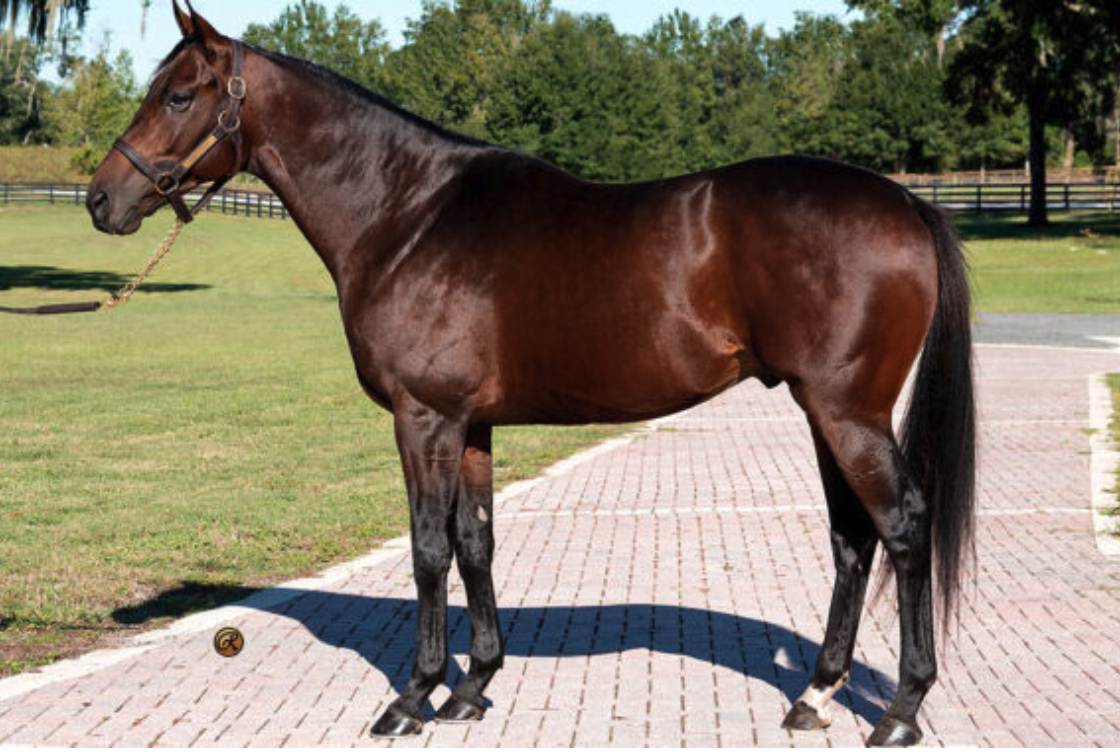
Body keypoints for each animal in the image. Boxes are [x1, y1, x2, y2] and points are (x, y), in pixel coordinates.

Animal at [86, 3, 975, 746]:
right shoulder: (471, 423)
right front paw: (473, 686)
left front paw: (414, 695)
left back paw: (899, 711)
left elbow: (428, 549)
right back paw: (815, 696)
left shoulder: (423, 417)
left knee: (901, 527)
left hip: (847, 412)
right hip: (826, 412)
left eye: (178, 96)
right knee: (852, 538)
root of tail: (905, 202)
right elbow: (476, 542)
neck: (408, 215)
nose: (102, 199)